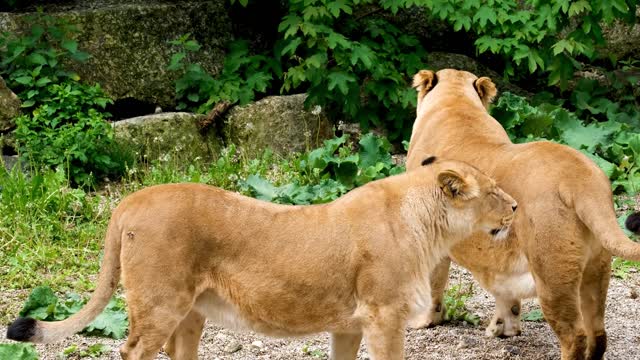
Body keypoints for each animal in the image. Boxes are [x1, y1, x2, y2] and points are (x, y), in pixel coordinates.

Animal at [6, 158, 516, 360]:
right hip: (159, 304)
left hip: (189, 314)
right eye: (492, 191)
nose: (514, 206)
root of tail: (129, 201)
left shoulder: (351, 323)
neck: (429, 228)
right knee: (132, 350)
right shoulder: (383, 315)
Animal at [408, 68, 640, 360]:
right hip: (595, 269)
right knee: (598, 334)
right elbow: (504, 290)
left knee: (574, 336)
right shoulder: (499, 256)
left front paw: (425, 321)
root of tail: (582, 179)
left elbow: (433, 286)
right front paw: (504, 328)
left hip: (552, 277)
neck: (456, 103)